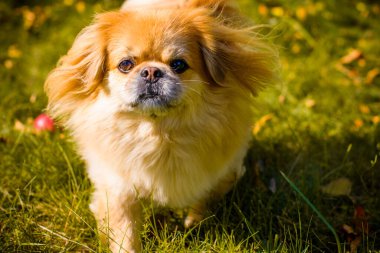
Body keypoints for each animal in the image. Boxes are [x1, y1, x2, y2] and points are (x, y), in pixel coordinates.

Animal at [44, 0, 278, 252]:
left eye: (178, 65)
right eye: (126, 65)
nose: (151, 72)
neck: (160, 134)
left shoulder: (224, 170)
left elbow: (206, 197)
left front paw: (194, 223)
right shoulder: (118, 189)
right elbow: (125, 233)